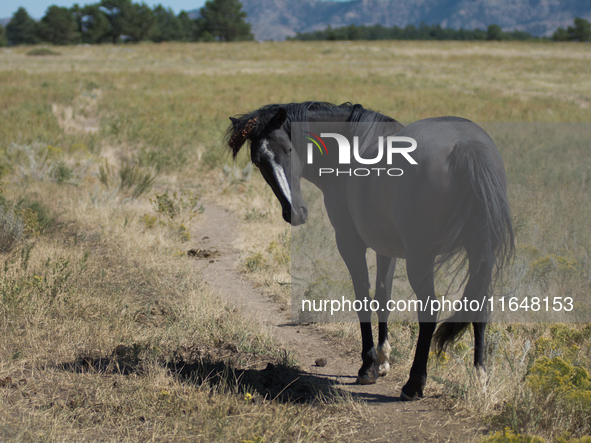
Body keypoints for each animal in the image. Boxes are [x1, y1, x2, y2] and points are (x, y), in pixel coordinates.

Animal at [227, 102, 512, 400]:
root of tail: (466, 145)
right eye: (258, 161)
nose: (294, 213)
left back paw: (414, 384)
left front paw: (368, 366)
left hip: (421, 258)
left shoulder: (350, 243)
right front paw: (384, 360)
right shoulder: (386, 247)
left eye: (288, 149)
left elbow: (363, 297)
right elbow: (383, 295)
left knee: (430, 310)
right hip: (481, 254)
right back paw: (480, 380)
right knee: (479, 307)